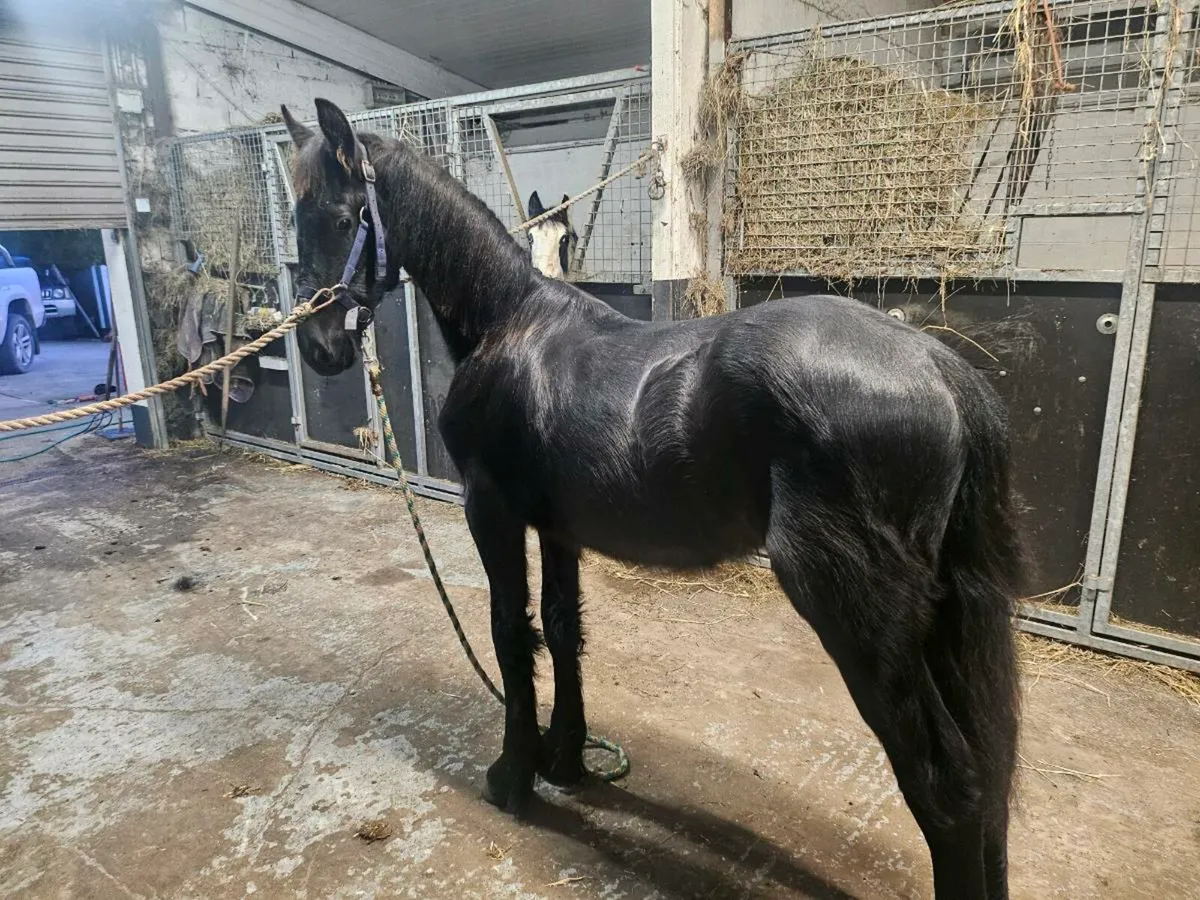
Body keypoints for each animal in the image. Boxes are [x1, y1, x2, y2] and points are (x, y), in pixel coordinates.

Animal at [280, 97, 1022, 900]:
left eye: (345, 216)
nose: (319, 347)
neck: (507, 323)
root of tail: (938, 367)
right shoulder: (558, 528)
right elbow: (563, 630)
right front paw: (565, 760)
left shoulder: (493, 513)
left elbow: (511, 634)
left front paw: (514, 777)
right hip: (940, 618)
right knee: (989, 780)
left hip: (860, 612)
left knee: (946, 785)